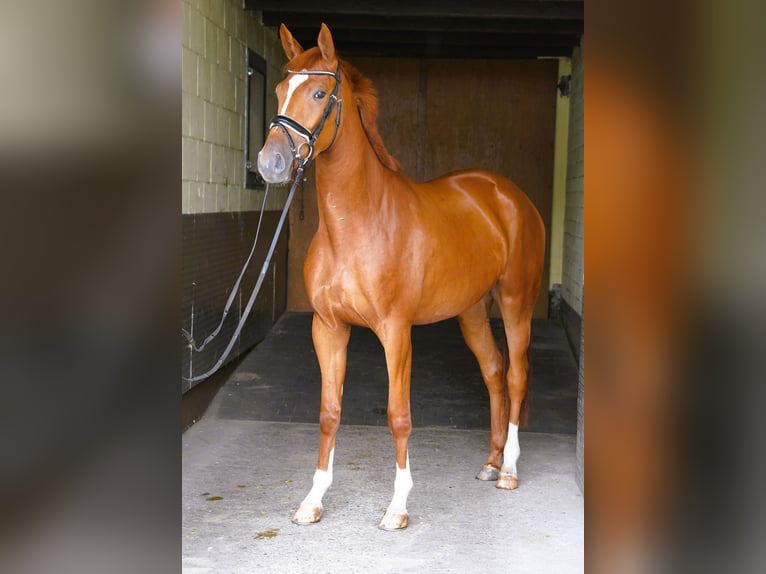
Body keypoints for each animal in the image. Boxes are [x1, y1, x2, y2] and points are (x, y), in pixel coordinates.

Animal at [258, 24, 544, 532]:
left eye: (318, 93)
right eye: (279, 89)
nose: (270, 163)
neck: (357, 223)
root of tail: (510, 197)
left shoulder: (396, 332)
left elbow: (399, 415)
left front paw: (397, 506)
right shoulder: (327, 329)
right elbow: (329, 412)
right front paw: (313, 499)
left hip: (515, 304)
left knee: (515, 376)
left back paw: (509, 469)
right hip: (472, 311)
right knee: (493, 372)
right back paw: (490, 463)